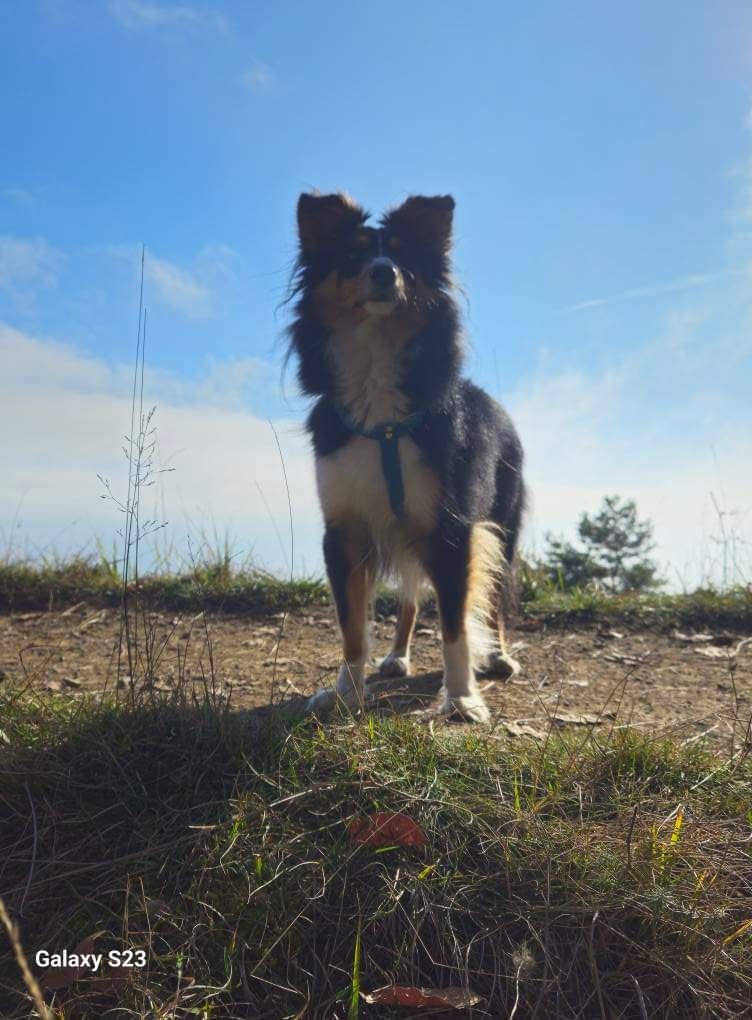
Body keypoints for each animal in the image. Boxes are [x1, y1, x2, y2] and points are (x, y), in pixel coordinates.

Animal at [288, 192, 525, 722]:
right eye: (352, 255)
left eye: (403, 258)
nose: (383, 273)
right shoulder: (345, 529)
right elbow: (352, 625)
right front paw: (345, 691)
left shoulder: (452, 527)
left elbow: (456, 625)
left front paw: (460, 699)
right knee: (413, 598)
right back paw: (398, 655)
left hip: (502, 523)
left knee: (494, 596)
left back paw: (498, 657)